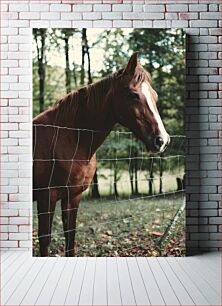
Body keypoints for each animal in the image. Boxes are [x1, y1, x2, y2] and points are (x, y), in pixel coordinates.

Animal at [33, 52, 170, 256]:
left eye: (155, 96)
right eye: (133, 94)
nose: (162, 140)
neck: (68, 138)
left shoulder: (72, 197)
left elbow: (70, 237)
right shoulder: (46, 198)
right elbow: (45, 240)